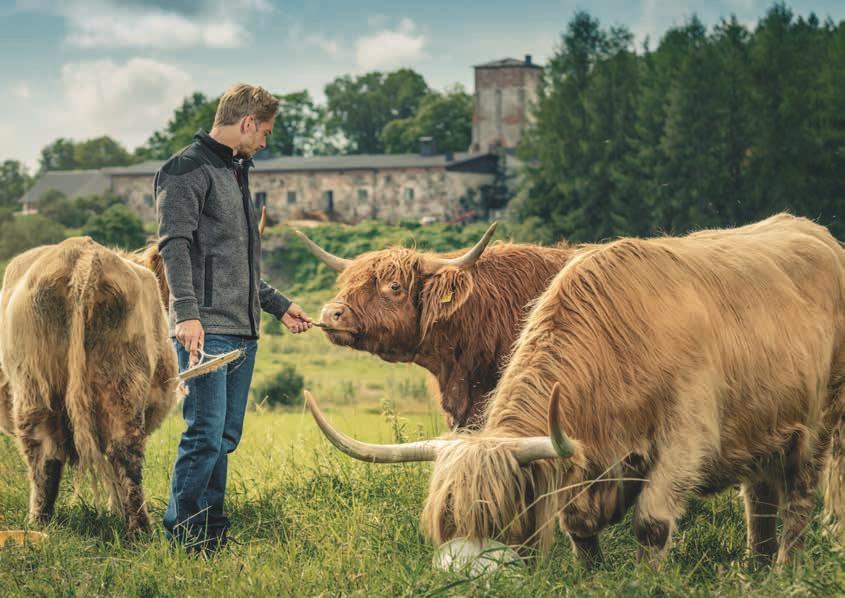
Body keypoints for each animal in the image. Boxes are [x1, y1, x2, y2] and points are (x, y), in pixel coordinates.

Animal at [0, 237, 178, 536]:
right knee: (123, 452)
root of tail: (82, 253)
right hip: (122, 381)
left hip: (33, 384)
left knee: (43, 455)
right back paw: (139, 529)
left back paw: (39, 520)